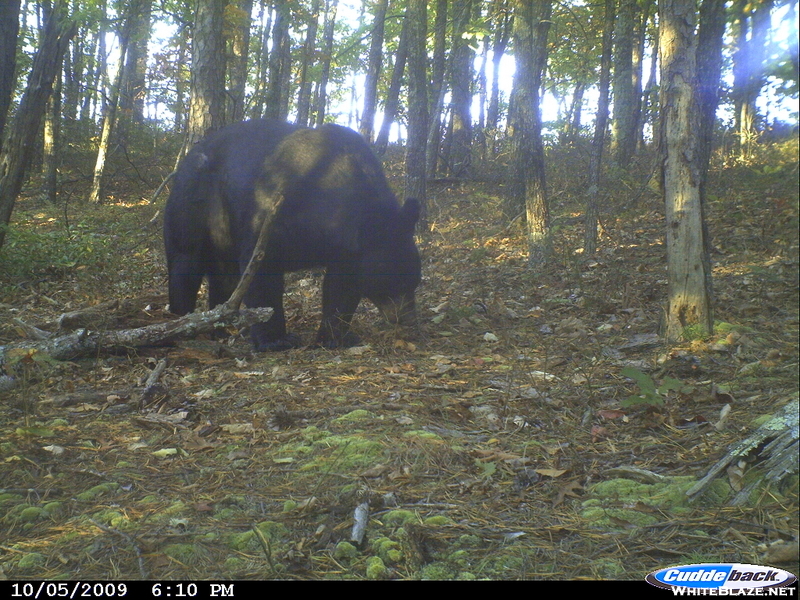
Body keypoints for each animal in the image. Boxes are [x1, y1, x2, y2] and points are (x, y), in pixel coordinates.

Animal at [165, 119, 422, 350]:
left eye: (415, 281)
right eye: (396, 282)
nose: (409, 319)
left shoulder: (346, 250)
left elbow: (341, 286)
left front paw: (335, 337)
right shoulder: (274, 216)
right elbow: (261, 271)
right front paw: (275, 340)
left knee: (224, 276)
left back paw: (222, 326)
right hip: (193, 204)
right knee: (185, 262)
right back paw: (181, 323)